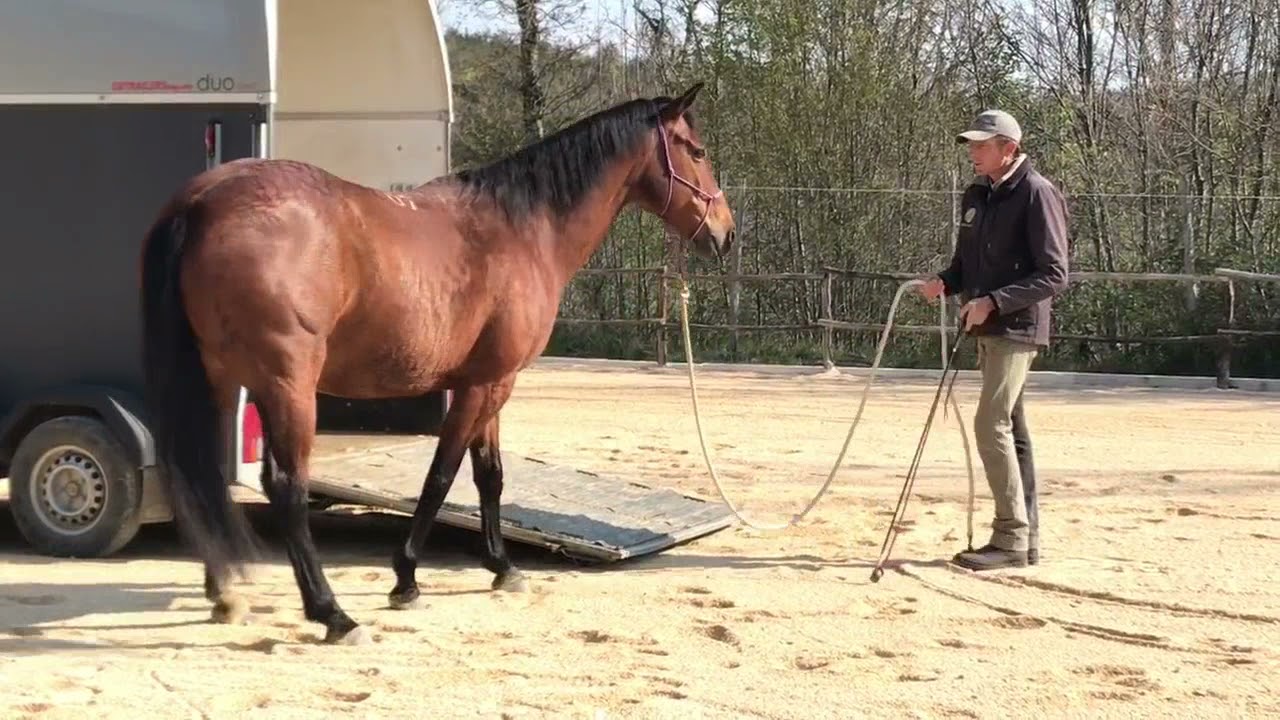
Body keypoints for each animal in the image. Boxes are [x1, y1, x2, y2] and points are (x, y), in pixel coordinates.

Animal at [139, 82, 735, 645]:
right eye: (698, 150)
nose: (725, 233)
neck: (525, 228)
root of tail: (202, 202)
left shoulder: (492, 382)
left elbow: (489, 475)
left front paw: (502, 567)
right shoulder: (485, 386)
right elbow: (442, 475)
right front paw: (406, 578)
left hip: (220, 380)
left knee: (205, 475)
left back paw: (225, 592)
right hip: (286, 385)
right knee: (286, 488)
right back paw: (333, 614)